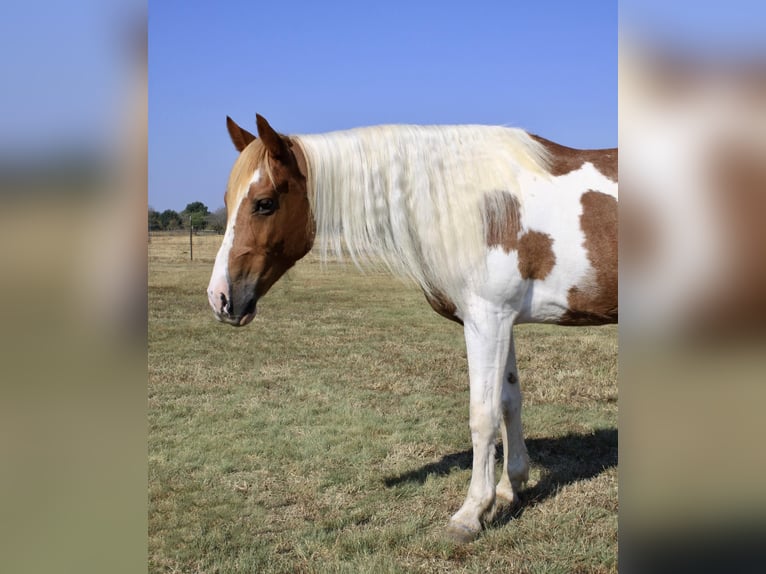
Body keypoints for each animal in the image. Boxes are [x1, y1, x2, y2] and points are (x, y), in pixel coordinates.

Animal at [206, 113, 616, 544]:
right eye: (228, 200)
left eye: (265, 203)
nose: (220, 298)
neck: (476, 204)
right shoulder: (501, 321)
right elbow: (509, 402)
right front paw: (509, 488)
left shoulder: (487, 320)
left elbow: (483, 414)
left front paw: (471, 513)